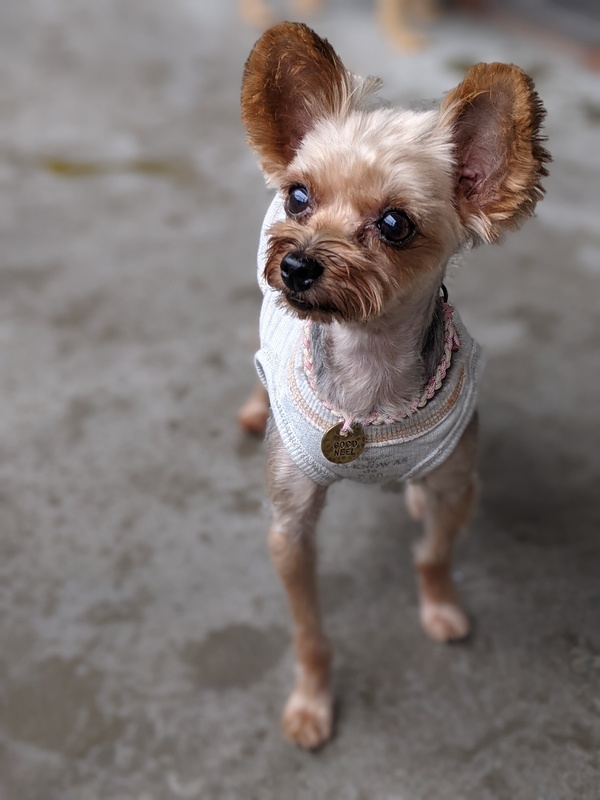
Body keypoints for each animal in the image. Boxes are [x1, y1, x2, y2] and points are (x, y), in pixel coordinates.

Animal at [238, 22, 549, 748]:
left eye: (393, 225)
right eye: (300, 197)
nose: (297, 265)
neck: (369, 374)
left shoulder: (459, 484)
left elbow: (433, 555)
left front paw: (440, 609)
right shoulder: (289, 529)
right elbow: (309, 630)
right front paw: (312, 703)